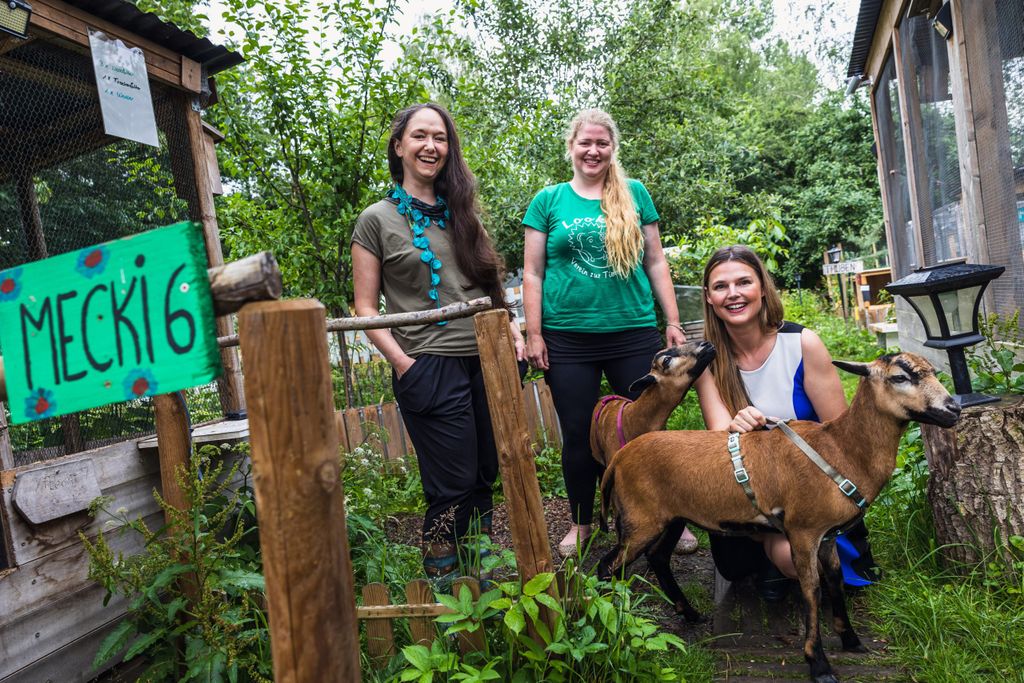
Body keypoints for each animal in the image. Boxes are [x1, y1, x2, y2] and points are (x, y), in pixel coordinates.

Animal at [598, 352, 962, 683]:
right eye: (899, 377)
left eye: (932, 371)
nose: (953, 409)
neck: (842, 449)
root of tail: (619, 458)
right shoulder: (803, 530)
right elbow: (811, 589)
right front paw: (819, 665)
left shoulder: (827, 536)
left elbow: (834, 581)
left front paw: (851, 640)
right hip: (640, 518)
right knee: (607, 566)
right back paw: (611, 628)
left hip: (671, 516)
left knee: (658, 557)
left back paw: (689, 614)